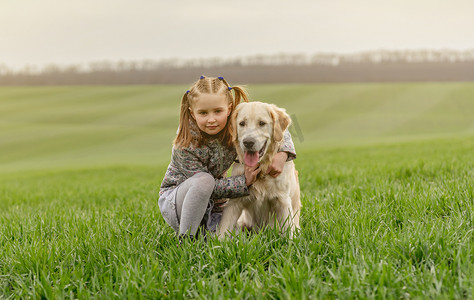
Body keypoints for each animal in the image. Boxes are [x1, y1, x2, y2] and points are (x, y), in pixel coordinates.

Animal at [218, 102, 300, 238]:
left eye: (262, 123)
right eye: (242, 123)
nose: (248, 142)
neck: (261, 169)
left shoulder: (282, 200)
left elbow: (288, 231)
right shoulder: (234, 202)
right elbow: (223, 230)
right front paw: (217, 243)